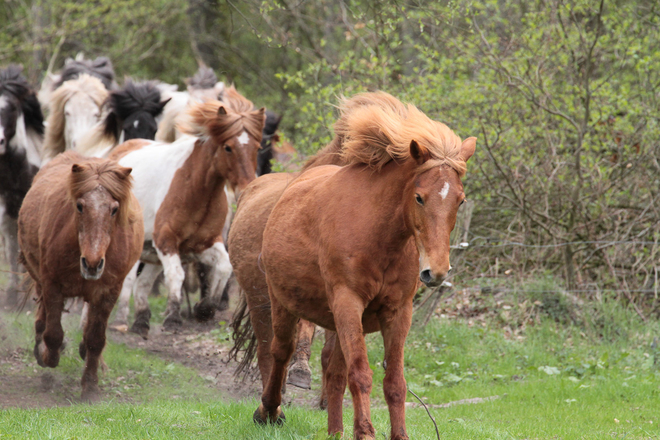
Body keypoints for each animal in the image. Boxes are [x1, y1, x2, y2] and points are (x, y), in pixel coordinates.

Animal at [17, 151, 143, 402]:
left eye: (114, 209)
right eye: (80, 206)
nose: (92, 264)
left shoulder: (108, 292)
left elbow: (95, 339)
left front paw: (90, 386)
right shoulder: (52, 284)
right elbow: (53, 334)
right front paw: (48, 355)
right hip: (41, 280)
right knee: (43, 319)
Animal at [255, 91, 476, 438]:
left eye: (460, 200)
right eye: (419, 197)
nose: (437, 271)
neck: (379, 238)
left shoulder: (397, 313)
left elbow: (394, 382)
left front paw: (397, 434)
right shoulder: (349, 302)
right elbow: (360, 375)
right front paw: (367, 432)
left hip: (334, 320)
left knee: (333, 370)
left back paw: (335, 431)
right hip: (284, 304)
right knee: (281, 351)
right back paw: (269, 410)